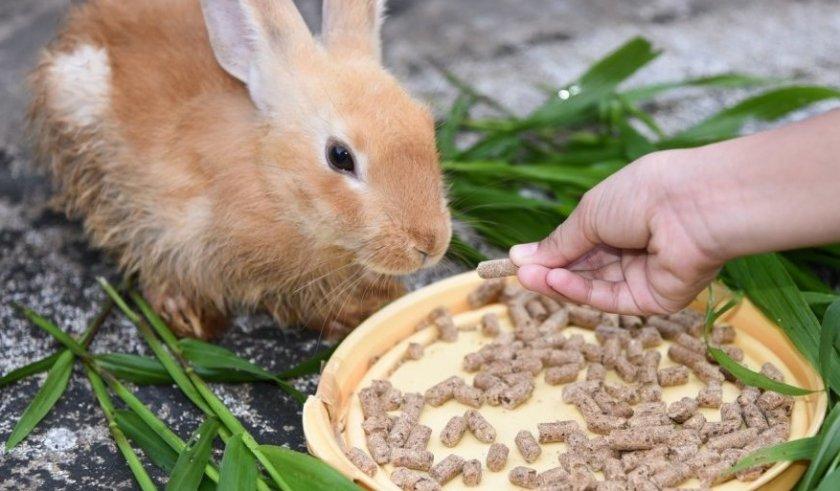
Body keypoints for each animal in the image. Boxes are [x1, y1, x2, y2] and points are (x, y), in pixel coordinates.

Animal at [26, 0, 450, 338]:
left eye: (427, 124)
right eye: (340, 156)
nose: (429, 245)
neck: (270, 177)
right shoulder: (163, 225)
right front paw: (190, 320)